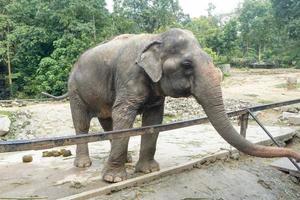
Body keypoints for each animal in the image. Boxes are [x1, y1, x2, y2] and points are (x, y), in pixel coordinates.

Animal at [43, 28, 300, 183]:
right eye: (187, 64)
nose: (296, 155)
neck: (156, 38)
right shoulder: (129, 75)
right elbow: (124, 114)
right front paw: (114, 180)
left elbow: (153, 120)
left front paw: (147, 171)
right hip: (75, 89)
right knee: (82, 123)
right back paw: (83, 164)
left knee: (108, 120)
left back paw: (124, 158)